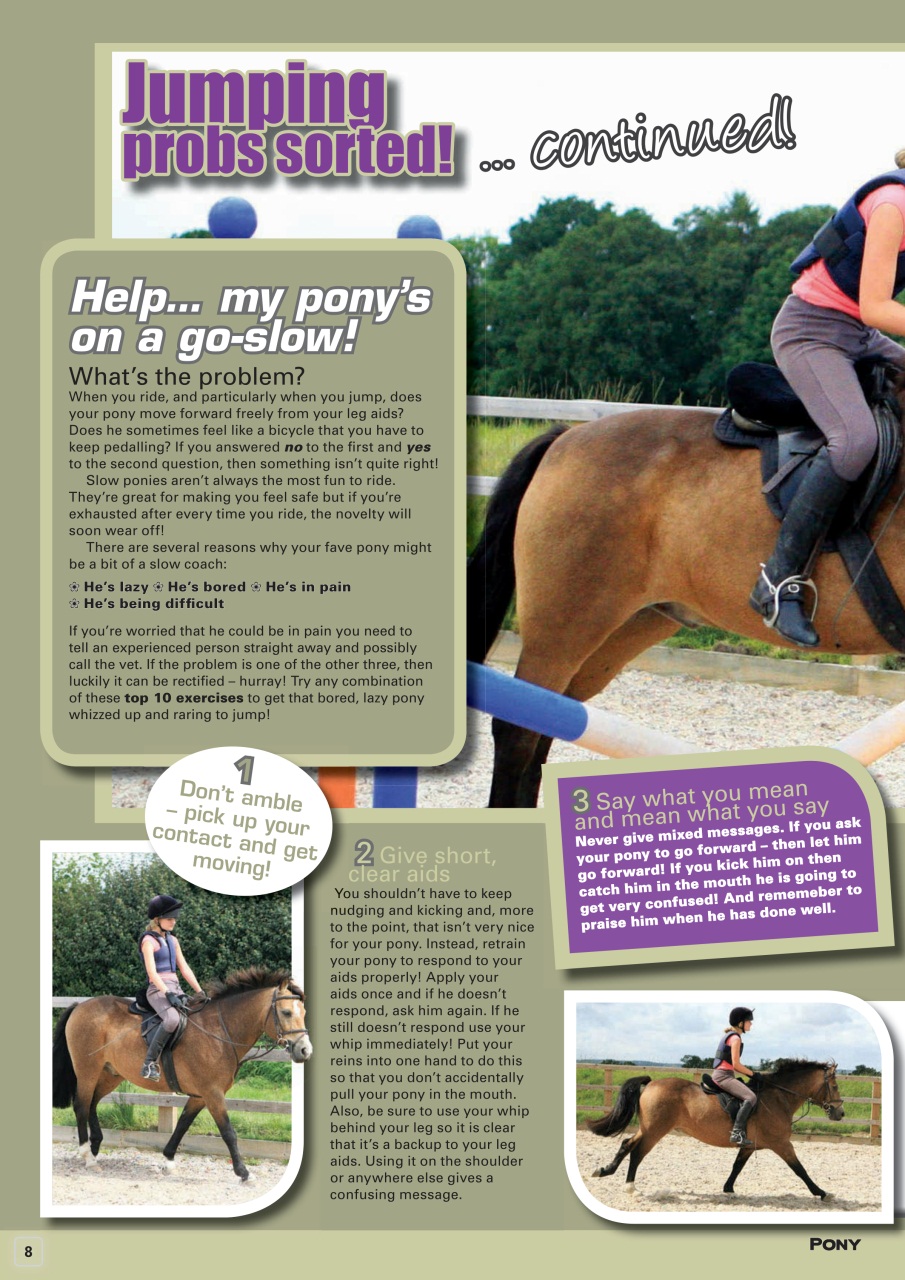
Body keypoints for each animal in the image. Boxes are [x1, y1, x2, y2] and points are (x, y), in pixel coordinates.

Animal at [52, 968, 311, 1181]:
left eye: (303, 1012)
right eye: (286, 1012)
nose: (304, 1050)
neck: (220, 1030)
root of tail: (80, 1006)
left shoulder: (200, 1095)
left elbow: (183, 1125)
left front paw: (168, 1161)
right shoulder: (213, 1093)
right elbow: (228, 1132)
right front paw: (244, 1172)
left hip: (110, 1074)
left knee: (92, 1103)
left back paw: (95, 1148)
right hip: (87, 1070)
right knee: (82, 1105)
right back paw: (87, 1156)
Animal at [587, 1059, 845, 1198]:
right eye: (834, 1085)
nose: (840, 1113)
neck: (778, 1098)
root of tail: (651, 1083)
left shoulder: (750, 1145)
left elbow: (737, 1166)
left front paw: (728, 1188)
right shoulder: (782, 1144)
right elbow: (800, 1169)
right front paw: (822, 1192)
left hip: (648, 1128)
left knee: (626, 1144)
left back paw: (604, 1171)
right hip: (655, 1130)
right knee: (637, 1152)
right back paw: (631, 1187)